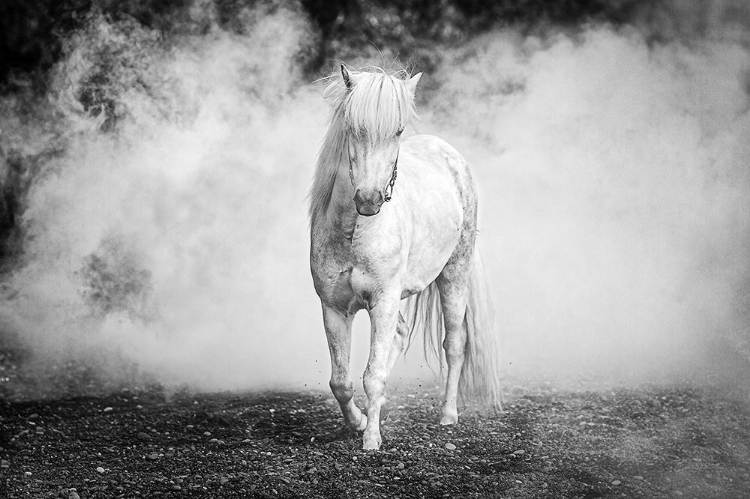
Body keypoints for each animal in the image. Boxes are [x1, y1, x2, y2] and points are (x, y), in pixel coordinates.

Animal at [308, 64, 502, 452]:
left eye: (397, 130)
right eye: (353, 128)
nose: (369, 200)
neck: (355, 231)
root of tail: (450, 155)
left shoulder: (382, 301)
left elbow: (373, 375)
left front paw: (371, 439)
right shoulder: (333, 307)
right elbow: (341, 381)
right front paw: (359, 422)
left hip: (454, 276)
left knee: (454, 344)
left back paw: (448, 415)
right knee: (398, 336)